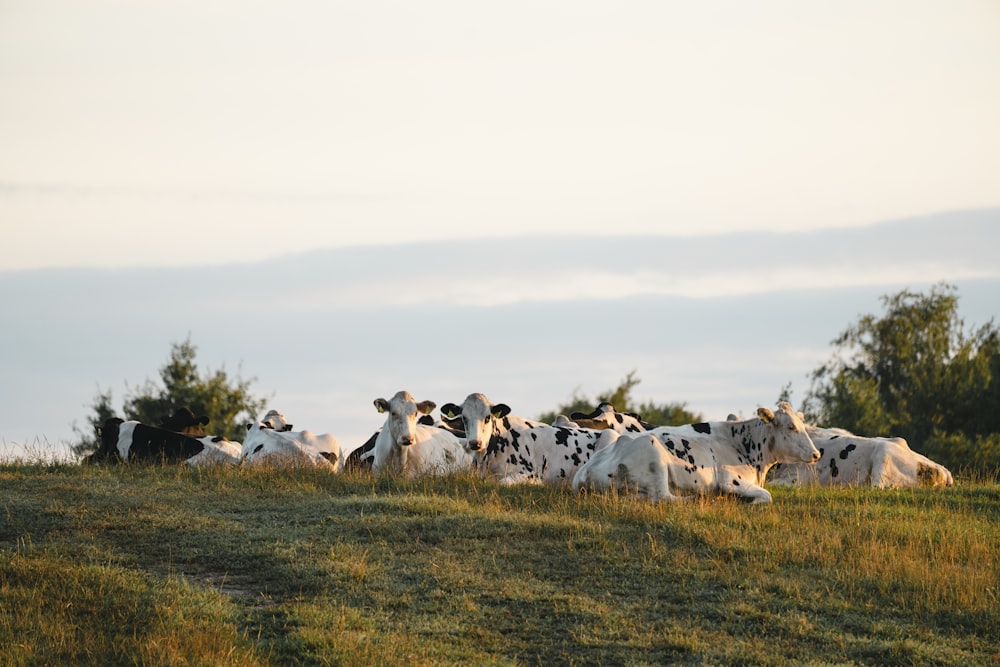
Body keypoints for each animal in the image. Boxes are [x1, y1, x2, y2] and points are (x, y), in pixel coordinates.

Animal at [576, 402, 824, 506]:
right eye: (790, 427)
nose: (815, 454)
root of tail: (587, 471)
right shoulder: (731, 480)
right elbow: (767, 496)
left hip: (610, 437)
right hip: (653, 452)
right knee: (665, 498)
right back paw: (699, 498)